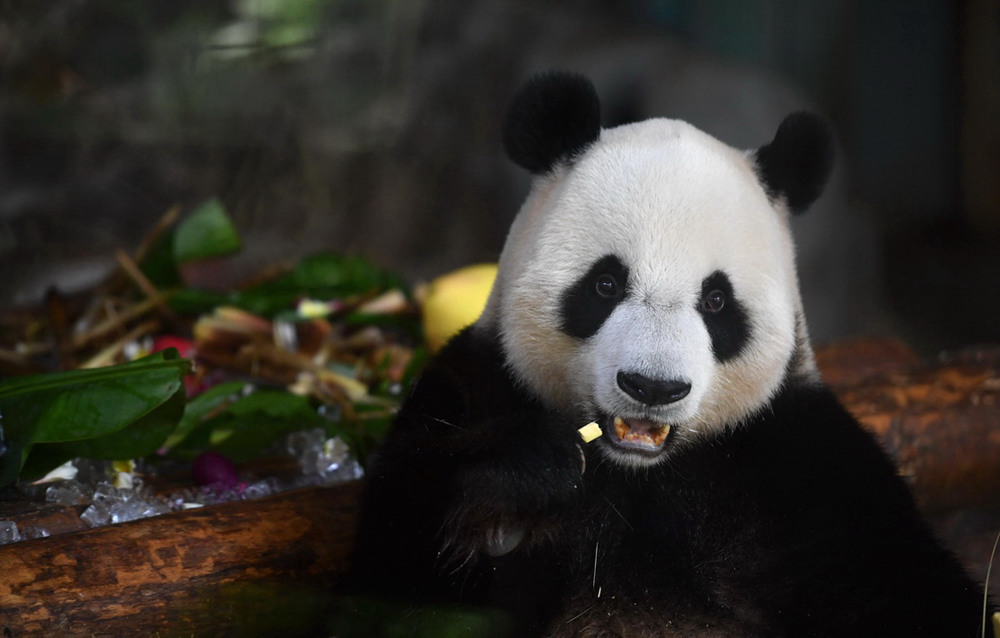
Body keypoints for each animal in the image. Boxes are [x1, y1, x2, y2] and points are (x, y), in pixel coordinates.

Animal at [351, 72, 991, 637]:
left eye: (716, 301)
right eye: (606, 284)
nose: (652, 388)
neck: (641, 472)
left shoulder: (804, 465)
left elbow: (913, 590)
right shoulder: (477, 381)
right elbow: (390, 563)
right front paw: (523, 479)